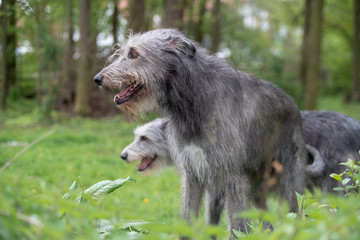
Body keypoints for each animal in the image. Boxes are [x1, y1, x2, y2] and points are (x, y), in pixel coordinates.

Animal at [94, 28, 308, 236]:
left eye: (133, 54)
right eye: (124, 52)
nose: (97, 79)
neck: (193, 100)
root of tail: (295, 107)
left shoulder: (234, 178)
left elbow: (238, 227)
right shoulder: (193, 174)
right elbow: (187, 218)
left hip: (288, 182)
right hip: (255, 184)